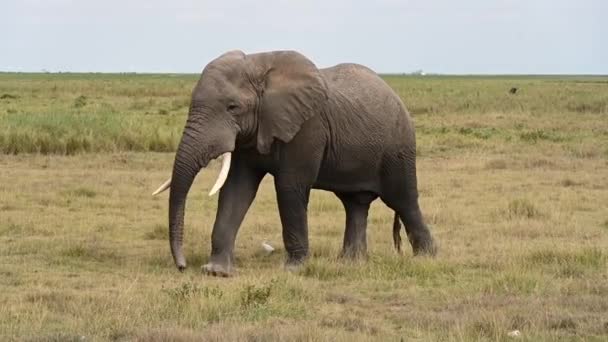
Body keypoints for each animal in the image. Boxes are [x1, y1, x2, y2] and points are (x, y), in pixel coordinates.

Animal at [154, 50, 434, 276]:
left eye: (232, 107)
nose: (182, 266)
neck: (260, 66)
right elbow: (236, 190)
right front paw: (216, 271)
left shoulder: (307, 128)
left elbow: (289, 188)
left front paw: (294, 269)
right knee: (355, 204)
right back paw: (351, 263)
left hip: (398, 148)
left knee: (403, 200)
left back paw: (426, 258)